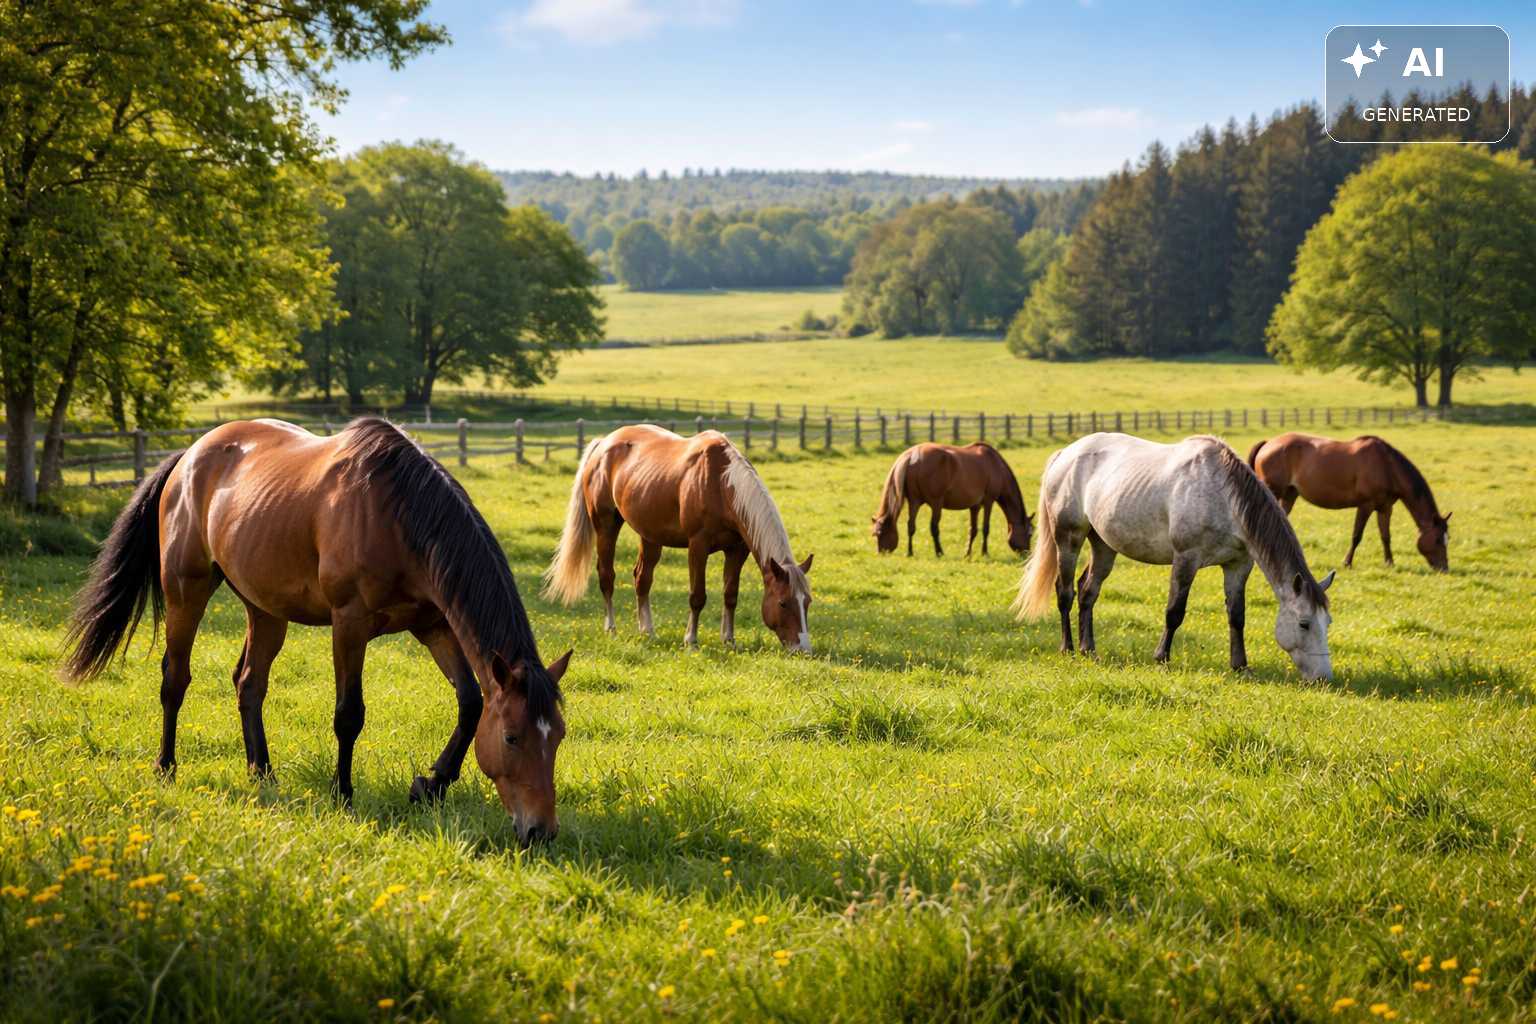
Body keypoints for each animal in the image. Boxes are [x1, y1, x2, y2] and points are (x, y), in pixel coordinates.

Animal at [62, 418, 570, 845]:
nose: (540, 831)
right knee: (175, 679)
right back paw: (166, 767)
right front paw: (343, 793)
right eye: (512, 738)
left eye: (559, 736)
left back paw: (262, 772)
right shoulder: (349, 623)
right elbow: (349, 714)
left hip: (265, 609)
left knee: (250, 683)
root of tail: (190, 455)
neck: (398, 514)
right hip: (187, 590)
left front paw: (430, 785)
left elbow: (470, 704)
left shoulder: (434, 625)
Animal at [542, 424, 814, 651]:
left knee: (642, 579)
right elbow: (697, 596)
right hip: (606, 525)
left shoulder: (737, 550)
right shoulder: (698, 546)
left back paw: (647, 631)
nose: (803, 649)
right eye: (783, 603)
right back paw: (611, 628)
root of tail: (604, 443)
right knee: (607, 576)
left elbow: (730, 595)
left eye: (807, 602)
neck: (721, 484)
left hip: (650, 535)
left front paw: (729, 640)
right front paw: (691, 641)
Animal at [871, 443, 1033, 558]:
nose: (1027, 554)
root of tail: (912, 455)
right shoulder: (989, 502)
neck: (996, 465)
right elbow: (985, 528)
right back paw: (939, 552)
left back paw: (910, 552)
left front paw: (967, 554)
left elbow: (973, 530)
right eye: (1030, 533)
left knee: (911, 525)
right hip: (936, 504)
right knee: (934, 527)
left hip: (915, 502)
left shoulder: (974, 506)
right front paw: (984, 553)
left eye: (878, 533)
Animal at [1014, 433, 1336, 680]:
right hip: (1068, 538)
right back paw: (1068, 648)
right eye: (1304, 623)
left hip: (1103, 545)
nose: (1323, 678)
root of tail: (1066, 454)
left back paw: (1088, 649)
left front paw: (1240, 665)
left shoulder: (1238, 565)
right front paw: (1161, 657)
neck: (1223, 497)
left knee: (1087, 592)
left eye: (1328, 623)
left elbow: (1237, 616)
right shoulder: (1186, 559)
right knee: (1065, 592)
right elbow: (1174, 611)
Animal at [1247, 433, 1449, 572]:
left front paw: (1390, 563)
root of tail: (1268, 443)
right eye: (1438, 539)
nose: (1444, 568)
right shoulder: (1365, 505)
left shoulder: (1385, 508)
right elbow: (1356, 535)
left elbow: (1386, 536)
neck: (1387, 466)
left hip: (1290, 494)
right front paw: (1347, 562)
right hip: (1273, 491)